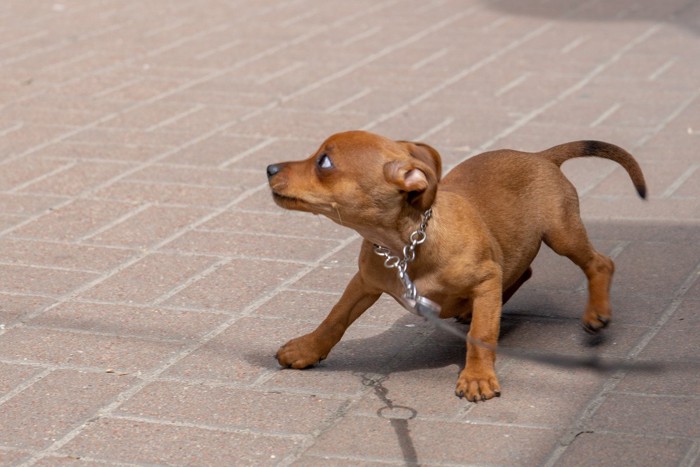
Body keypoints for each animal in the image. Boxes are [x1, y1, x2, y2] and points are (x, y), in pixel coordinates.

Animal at [264, 131, 644, 402]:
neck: (405, 248)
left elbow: (482, 334)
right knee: (523, 271)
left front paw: (477, 377)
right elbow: (335, 318)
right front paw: (307, 350)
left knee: (600, 263)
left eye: (324, 162)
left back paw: (596, 312)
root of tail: (541, 156)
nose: (269, 168)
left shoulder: (485, 280)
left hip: (561, 233)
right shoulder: (364, 282)